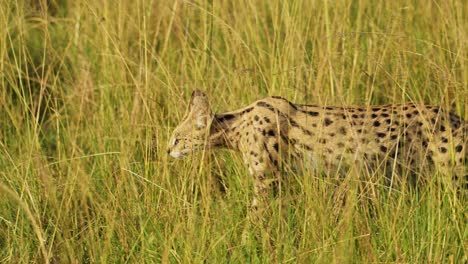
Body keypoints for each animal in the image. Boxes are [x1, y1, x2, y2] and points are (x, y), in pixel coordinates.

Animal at [167, 89, 464, 211]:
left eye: (177, 139)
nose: (167, 151)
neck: (238, 126)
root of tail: (456, 117)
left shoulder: (267, 180)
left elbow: (255, 217)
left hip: (454, 175)